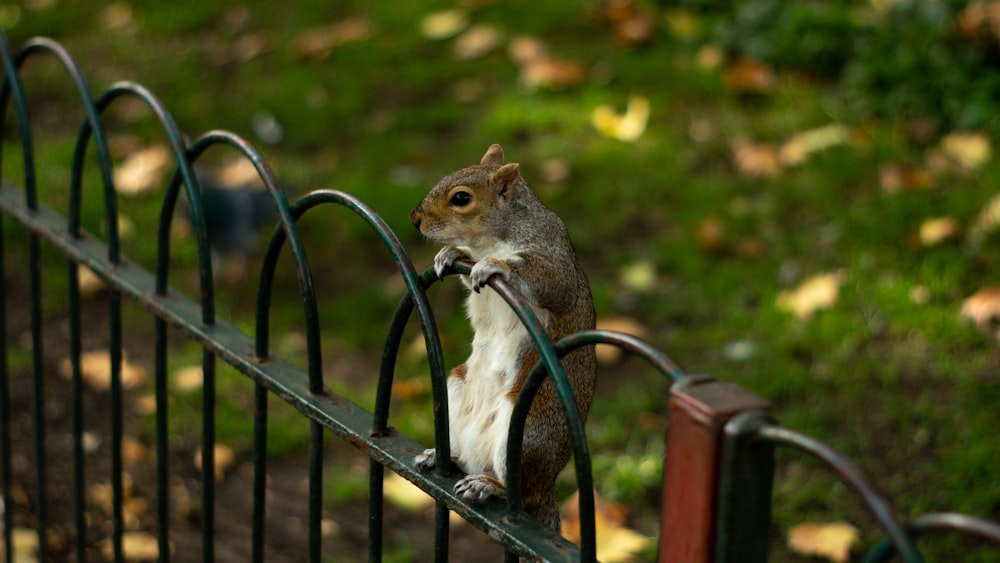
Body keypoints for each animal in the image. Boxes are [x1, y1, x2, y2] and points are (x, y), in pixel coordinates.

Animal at [410, 144, 596, 532]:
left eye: (461, 198)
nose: (414, 219)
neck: (491, 239)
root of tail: (548, 486)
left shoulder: (553, 257)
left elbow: (548, 280)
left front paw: (497, 265)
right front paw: (452, 253)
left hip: (527, 436)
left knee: (520, 493)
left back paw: (488, 486)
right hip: (455, 389)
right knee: (465, 459)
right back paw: (443, 456)